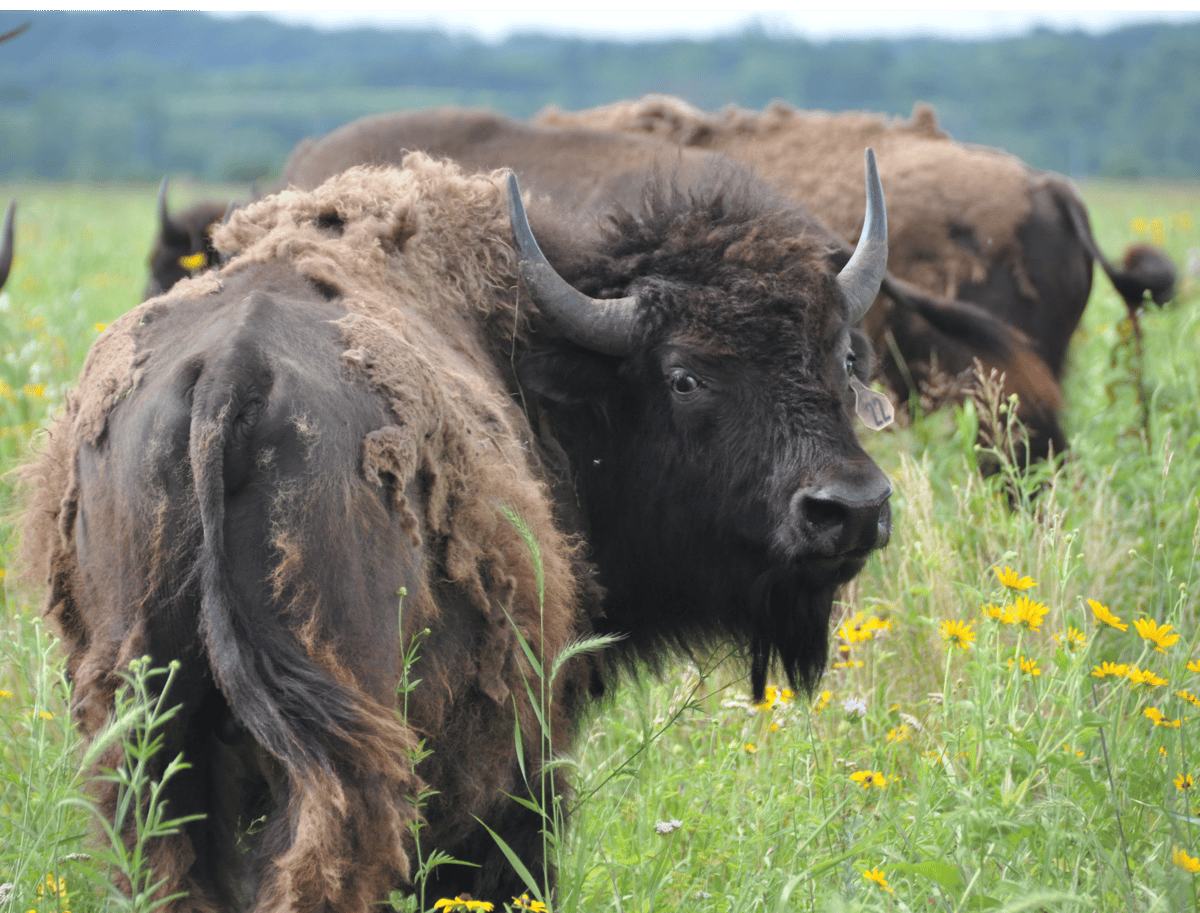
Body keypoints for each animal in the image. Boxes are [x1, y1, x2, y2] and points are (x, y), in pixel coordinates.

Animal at [21, 152, 891, 909]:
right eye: (685, 374)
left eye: (842, 358)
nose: (850, 507)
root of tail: (233, 374)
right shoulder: (527, 752)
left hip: (147, 729)